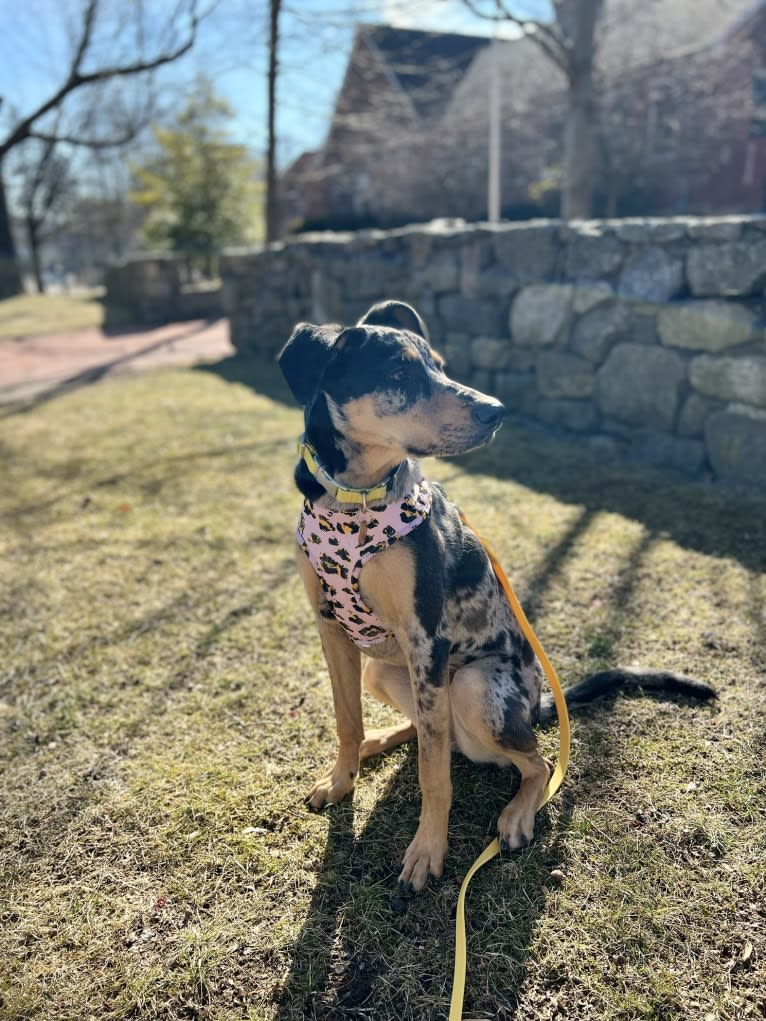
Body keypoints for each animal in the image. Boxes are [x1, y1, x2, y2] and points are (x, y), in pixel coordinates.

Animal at [277, 298, 719, 894]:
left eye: (439, 365)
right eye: (399, 375)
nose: (496, 411)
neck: (353, 501)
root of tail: (534, 707)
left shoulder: (425, 638)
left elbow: (434, 776)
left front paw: (426, 851)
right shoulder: (331, 628)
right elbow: (349, 721)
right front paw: (342, 778)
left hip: (472, 685)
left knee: (532, 763)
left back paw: (516, 813)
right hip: (386, 672)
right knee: (429, 730)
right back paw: (382, 740)